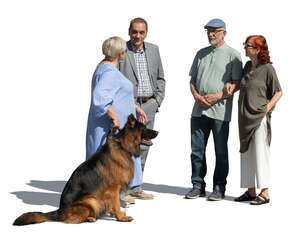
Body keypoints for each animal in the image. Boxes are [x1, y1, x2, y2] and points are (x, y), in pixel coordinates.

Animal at [13, 115, 159, 226]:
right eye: (145, 128)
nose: (157, 132)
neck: (123, 146)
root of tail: (59, 211)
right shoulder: (113, 188)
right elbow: (116, 203)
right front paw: (121, 217)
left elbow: (113, 203)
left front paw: (115, 214)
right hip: (91, 200)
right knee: (71, 220)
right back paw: (89, 218)